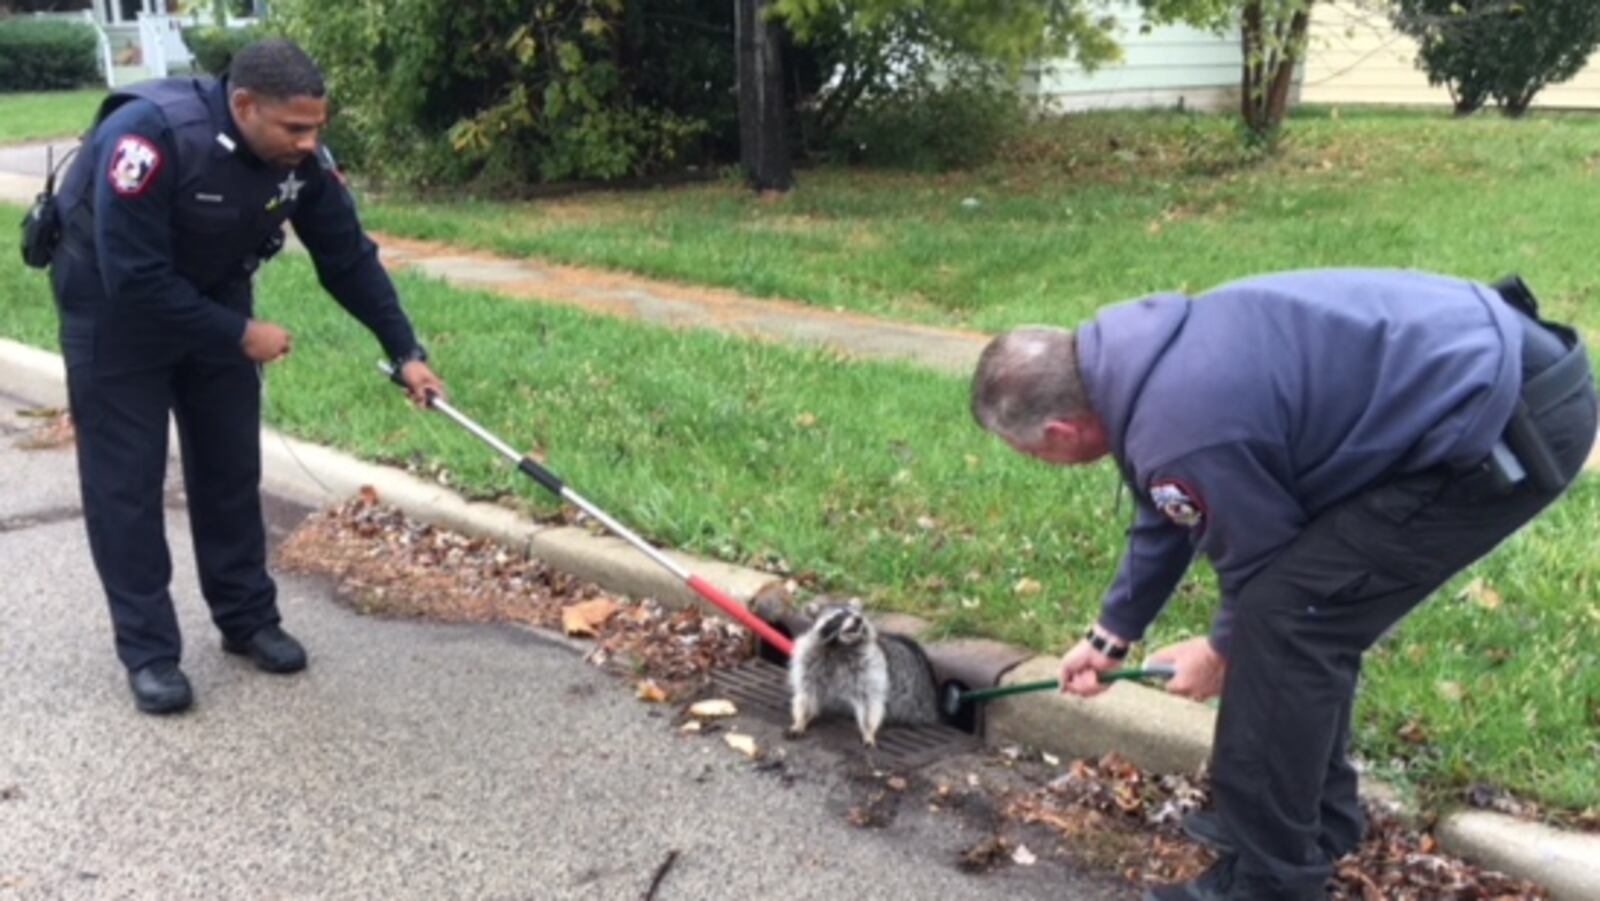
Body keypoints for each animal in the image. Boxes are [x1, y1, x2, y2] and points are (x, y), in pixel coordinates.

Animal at [784, 598, 934, 748]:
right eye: (838, 616)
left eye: (856, 613)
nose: (858, 619)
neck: (840, 645)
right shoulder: (808, 658)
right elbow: (807, 693)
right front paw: (800, 721)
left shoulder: (870, 666)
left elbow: (869, 700)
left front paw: (868, 731)